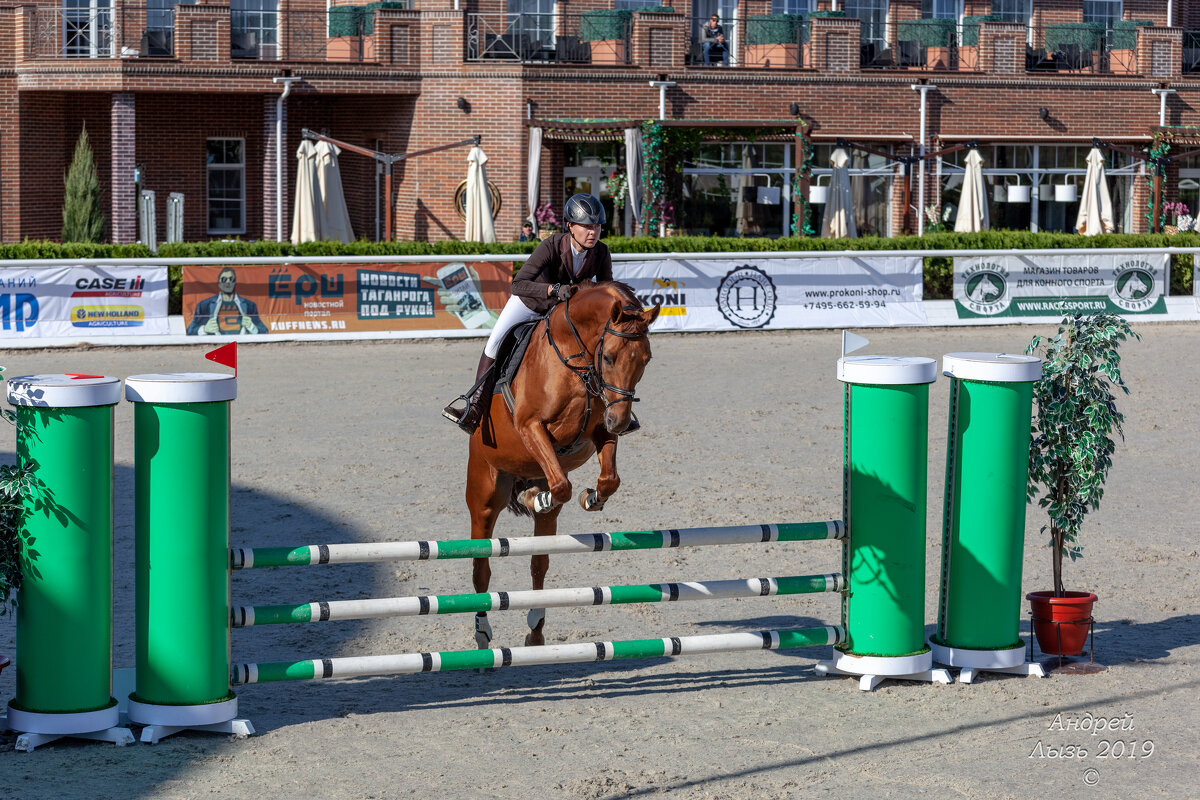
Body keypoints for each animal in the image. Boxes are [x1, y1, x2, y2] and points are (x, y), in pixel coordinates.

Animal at [465, 281, 660, 649]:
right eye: (609, 357)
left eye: (646, 360)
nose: (620, 421)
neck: (577, 360)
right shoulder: (530, 426)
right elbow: (561, 485)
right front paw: (535, 497)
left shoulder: (599, 429)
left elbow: (607, 479)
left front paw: (592, 498)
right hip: (485, 495)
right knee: (481, 568)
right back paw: (483, 633)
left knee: (539, 563)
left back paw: (535, 629)